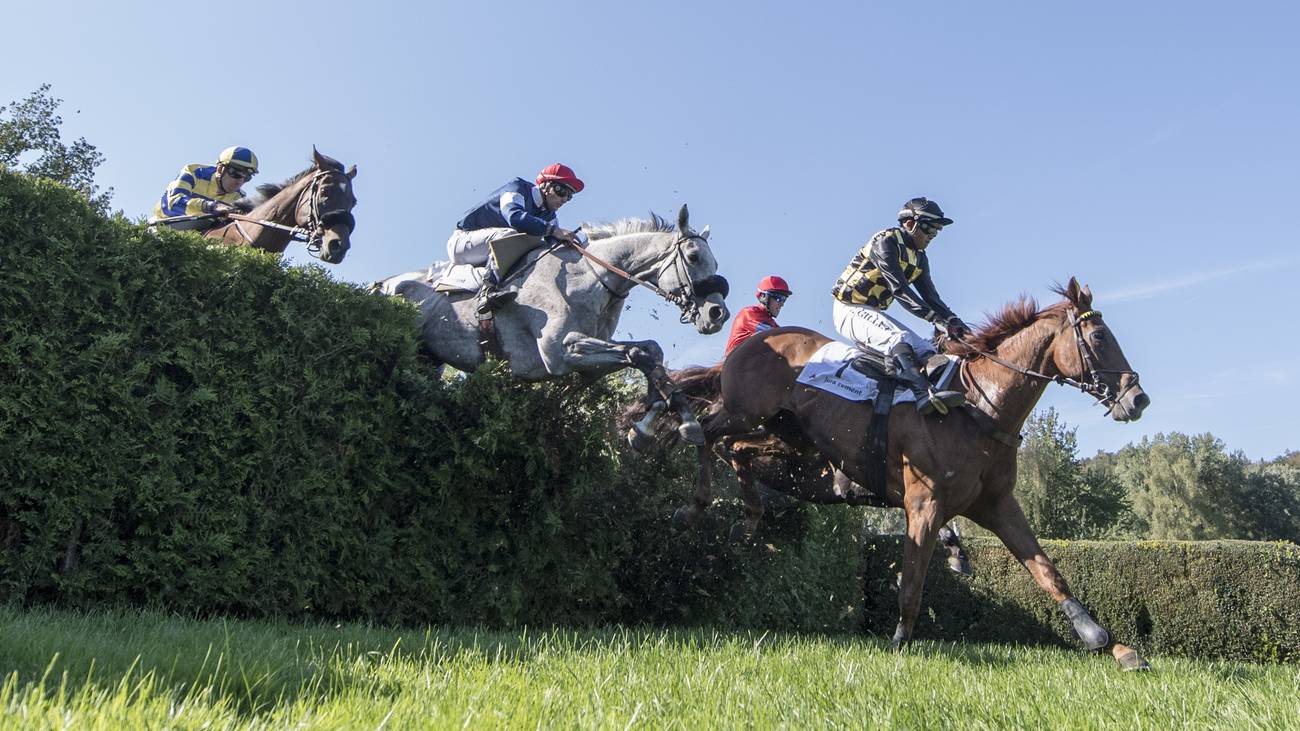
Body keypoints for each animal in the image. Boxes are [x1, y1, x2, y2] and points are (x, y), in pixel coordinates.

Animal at [374, 205, 733, 444]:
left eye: (715, 261)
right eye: (693, 257)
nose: (718, 314)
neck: (589, 278)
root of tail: (382, 284)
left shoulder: (588, 363)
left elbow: (650, 353)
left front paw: (668, 419)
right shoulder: (557, 356)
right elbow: (640, 355)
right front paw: (661, 424)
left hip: (429, 358)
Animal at [696, 278, 1154, 671]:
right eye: (1099, 337)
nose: (1138, 399)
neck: (979, 408)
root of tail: (750, 342)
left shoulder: (997, 504)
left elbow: (1048, 572)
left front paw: (1109, 643)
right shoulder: (924, 504)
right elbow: (912, 582)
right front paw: (900, 642)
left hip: (787, 437)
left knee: (733, 447)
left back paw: (747, 518)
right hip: (747, 413)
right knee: (705, 431)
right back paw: (700, 500)